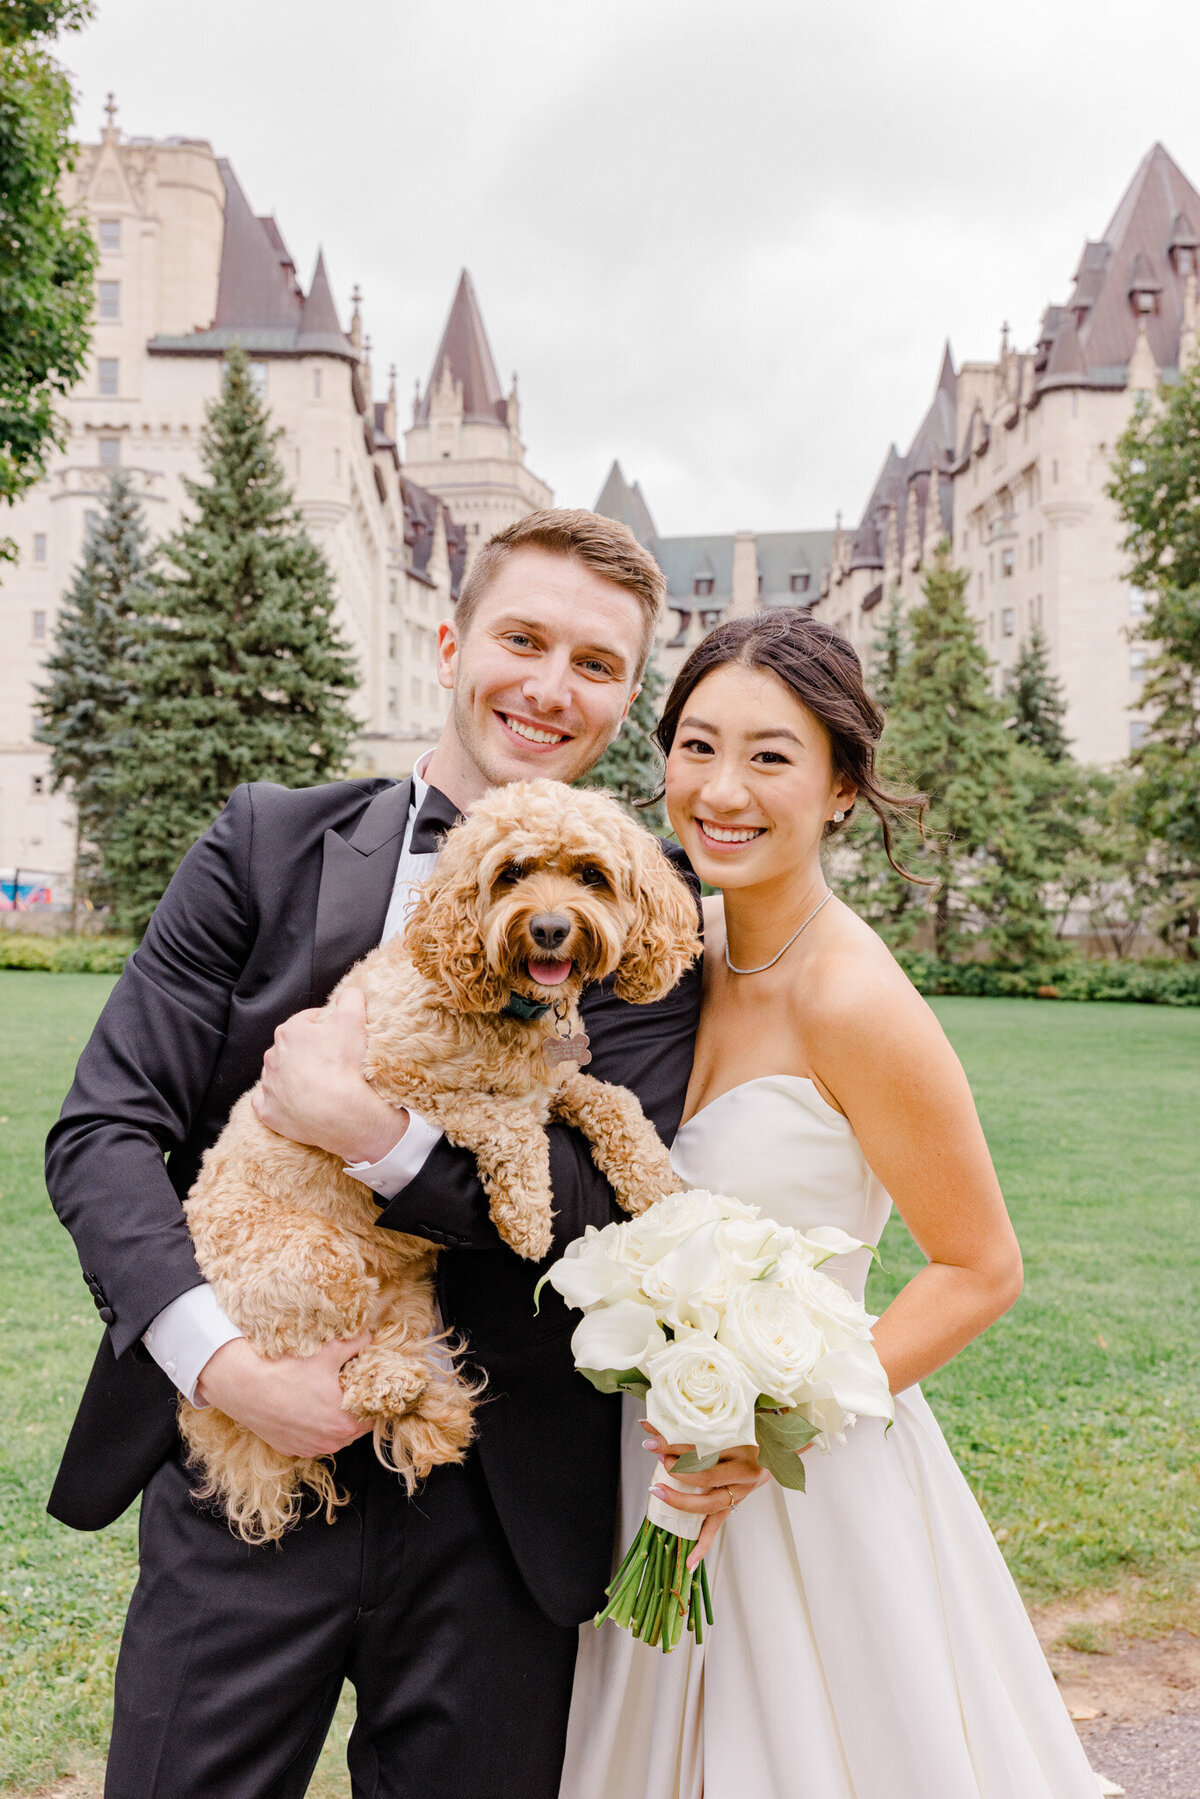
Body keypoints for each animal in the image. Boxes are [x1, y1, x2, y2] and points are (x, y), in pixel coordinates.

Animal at [179, 780, 705, 1539]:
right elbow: (501, 1120)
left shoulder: (554, 1082)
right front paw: (526, 1216)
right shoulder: (392, 1082)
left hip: (403, 1290)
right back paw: (383, 1381)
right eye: (512, 873)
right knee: (310, 1368)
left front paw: (654, 1181)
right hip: (313, 1261)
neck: (507, 1006)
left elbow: (614, 1100)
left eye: (590, 875)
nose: (550, 928)